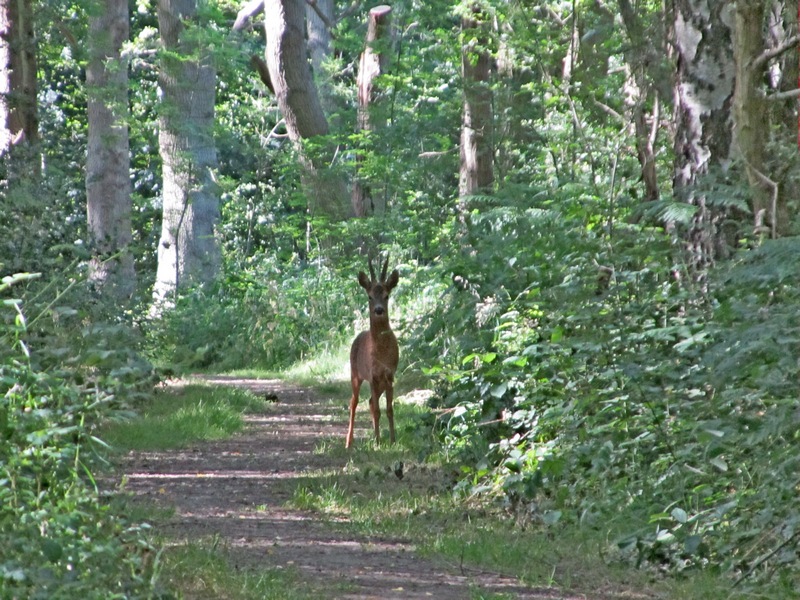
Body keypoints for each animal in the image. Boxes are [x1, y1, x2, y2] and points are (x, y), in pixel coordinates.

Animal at [345, 255, 400, 449]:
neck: (381, 352)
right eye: (369, 296)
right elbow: (377, 410)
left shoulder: (389, 376)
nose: (378, 310)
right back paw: (349, 441)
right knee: (353, 403)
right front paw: (377, 442)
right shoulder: (372, 376)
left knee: (369, 401)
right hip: (355, 374)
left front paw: (392, 440)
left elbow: (389, 409)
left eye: (387, 295)